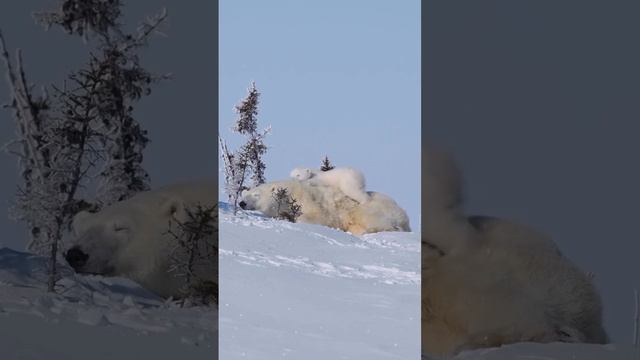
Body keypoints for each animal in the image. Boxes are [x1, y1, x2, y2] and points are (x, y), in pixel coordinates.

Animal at [240, 179, 410, 235]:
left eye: (256, 195)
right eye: (244, 195)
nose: (242, 203)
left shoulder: (311, 201)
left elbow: (317, 217)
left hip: (370, 207)